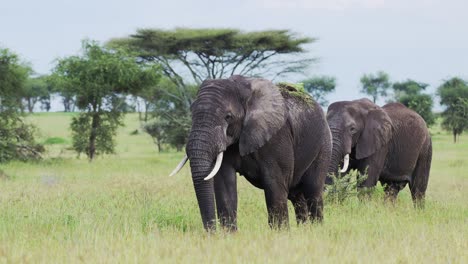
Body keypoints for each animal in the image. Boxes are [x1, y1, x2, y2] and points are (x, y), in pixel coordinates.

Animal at [170, 75, 330, 231]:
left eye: (228, 116)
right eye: (192, 114)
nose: (211, 232)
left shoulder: (276, 136)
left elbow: (274, 183)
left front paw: (280, 234)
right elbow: (224, 183)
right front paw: (228, 234)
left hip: (323, 144)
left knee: (312, 190)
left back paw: (316, 229)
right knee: (296, 196)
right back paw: (304, 230)